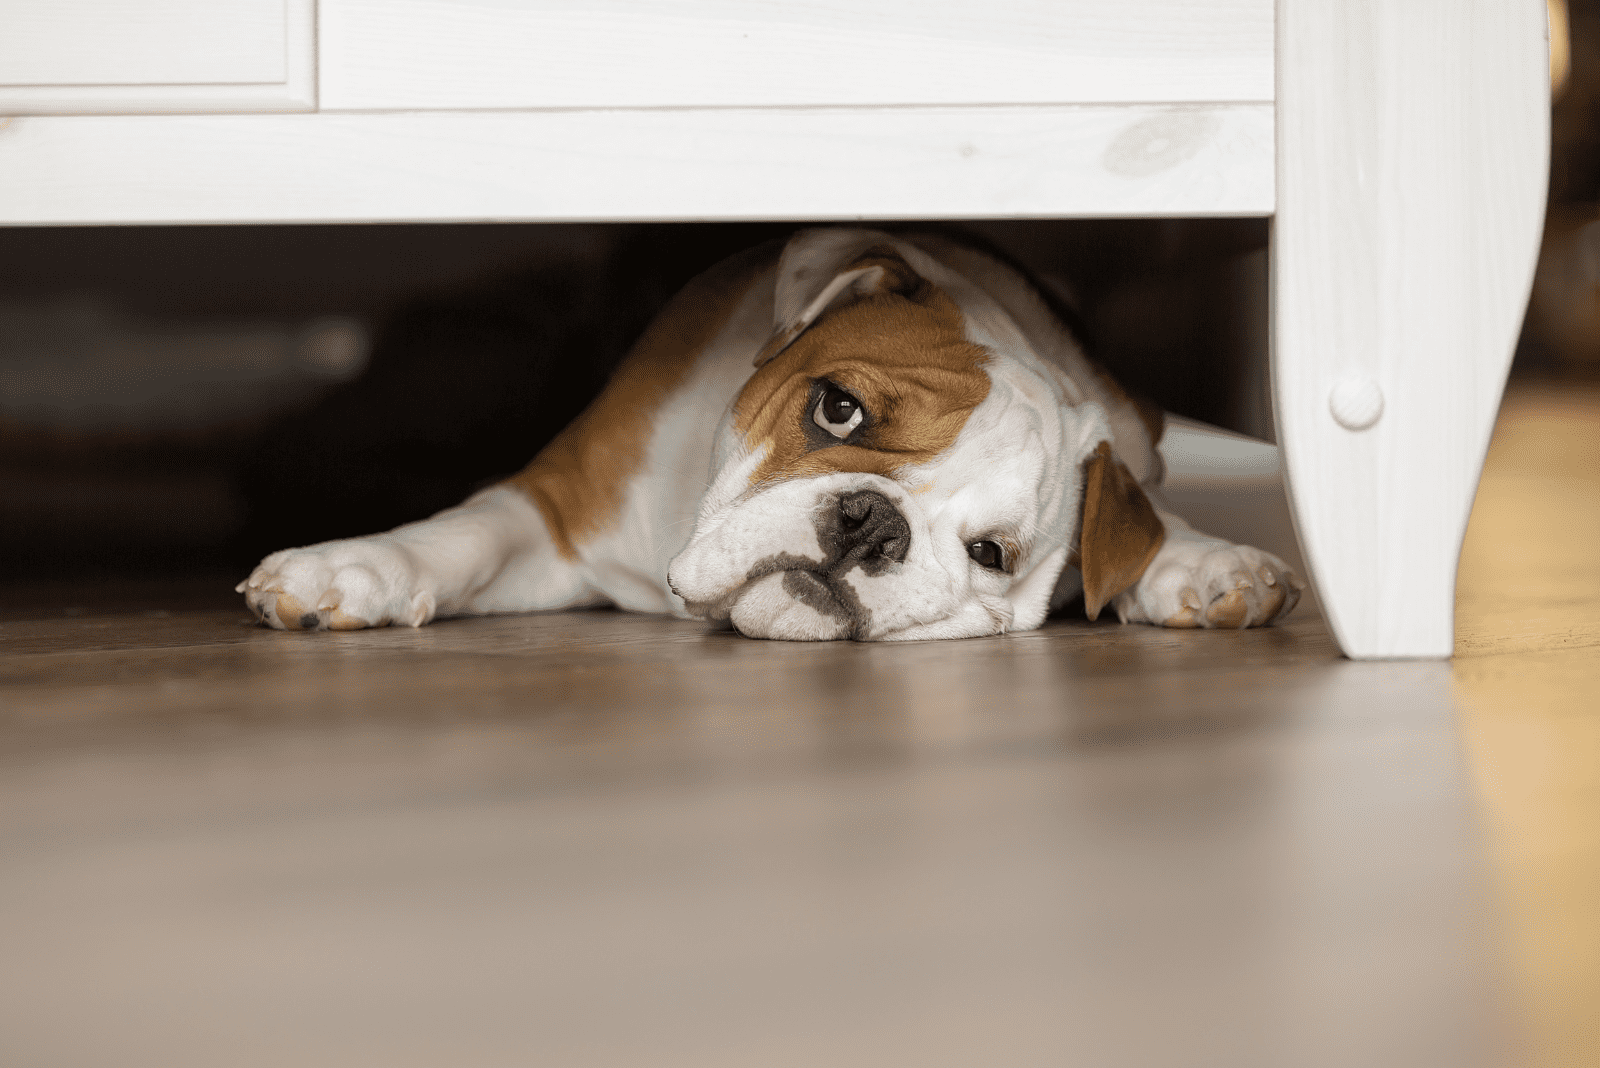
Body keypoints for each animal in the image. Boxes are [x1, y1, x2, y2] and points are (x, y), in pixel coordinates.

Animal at [243, 227, 1305, 642]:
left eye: (991, 554)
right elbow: (464, 534)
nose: (872, 521)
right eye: (837, 408)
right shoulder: (557, 503)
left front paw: (1196, 561)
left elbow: (1144, 513)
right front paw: (350, 567)